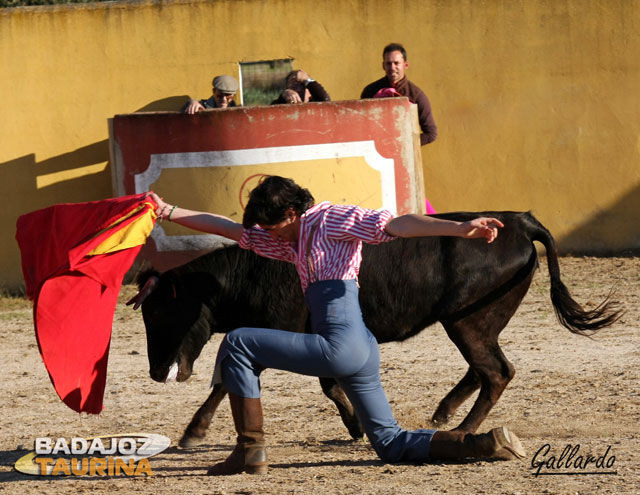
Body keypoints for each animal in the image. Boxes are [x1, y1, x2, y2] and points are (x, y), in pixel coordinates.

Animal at [135, 211, 620, 448]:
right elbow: (330, 384)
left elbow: (226, 381)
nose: (156, 372)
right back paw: (444, 413)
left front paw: (194, 432)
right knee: (486, 369)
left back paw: (461, 430)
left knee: (497, 372)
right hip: (474, 322)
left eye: (157, 314)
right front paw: (356, 427)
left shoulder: (275, 329)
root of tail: (519, 222)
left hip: (468, 321)